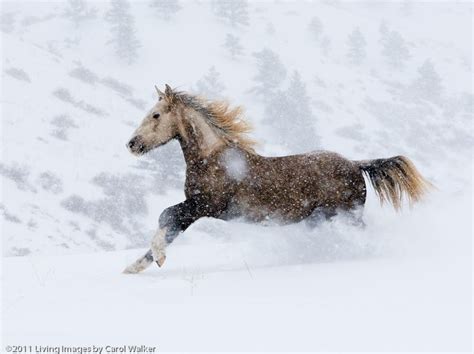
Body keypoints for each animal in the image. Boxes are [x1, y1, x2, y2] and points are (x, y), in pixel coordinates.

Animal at [121, 83, 430, 274]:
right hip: (321, 219)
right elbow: (170, 226)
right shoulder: (197, 208)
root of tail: (356, 164)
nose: (132, 144)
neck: (213, 159)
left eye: (155, 115)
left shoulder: (205, 206)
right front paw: (134, 267)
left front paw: (156, 258)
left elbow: (166, 216)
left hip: (347, 215)